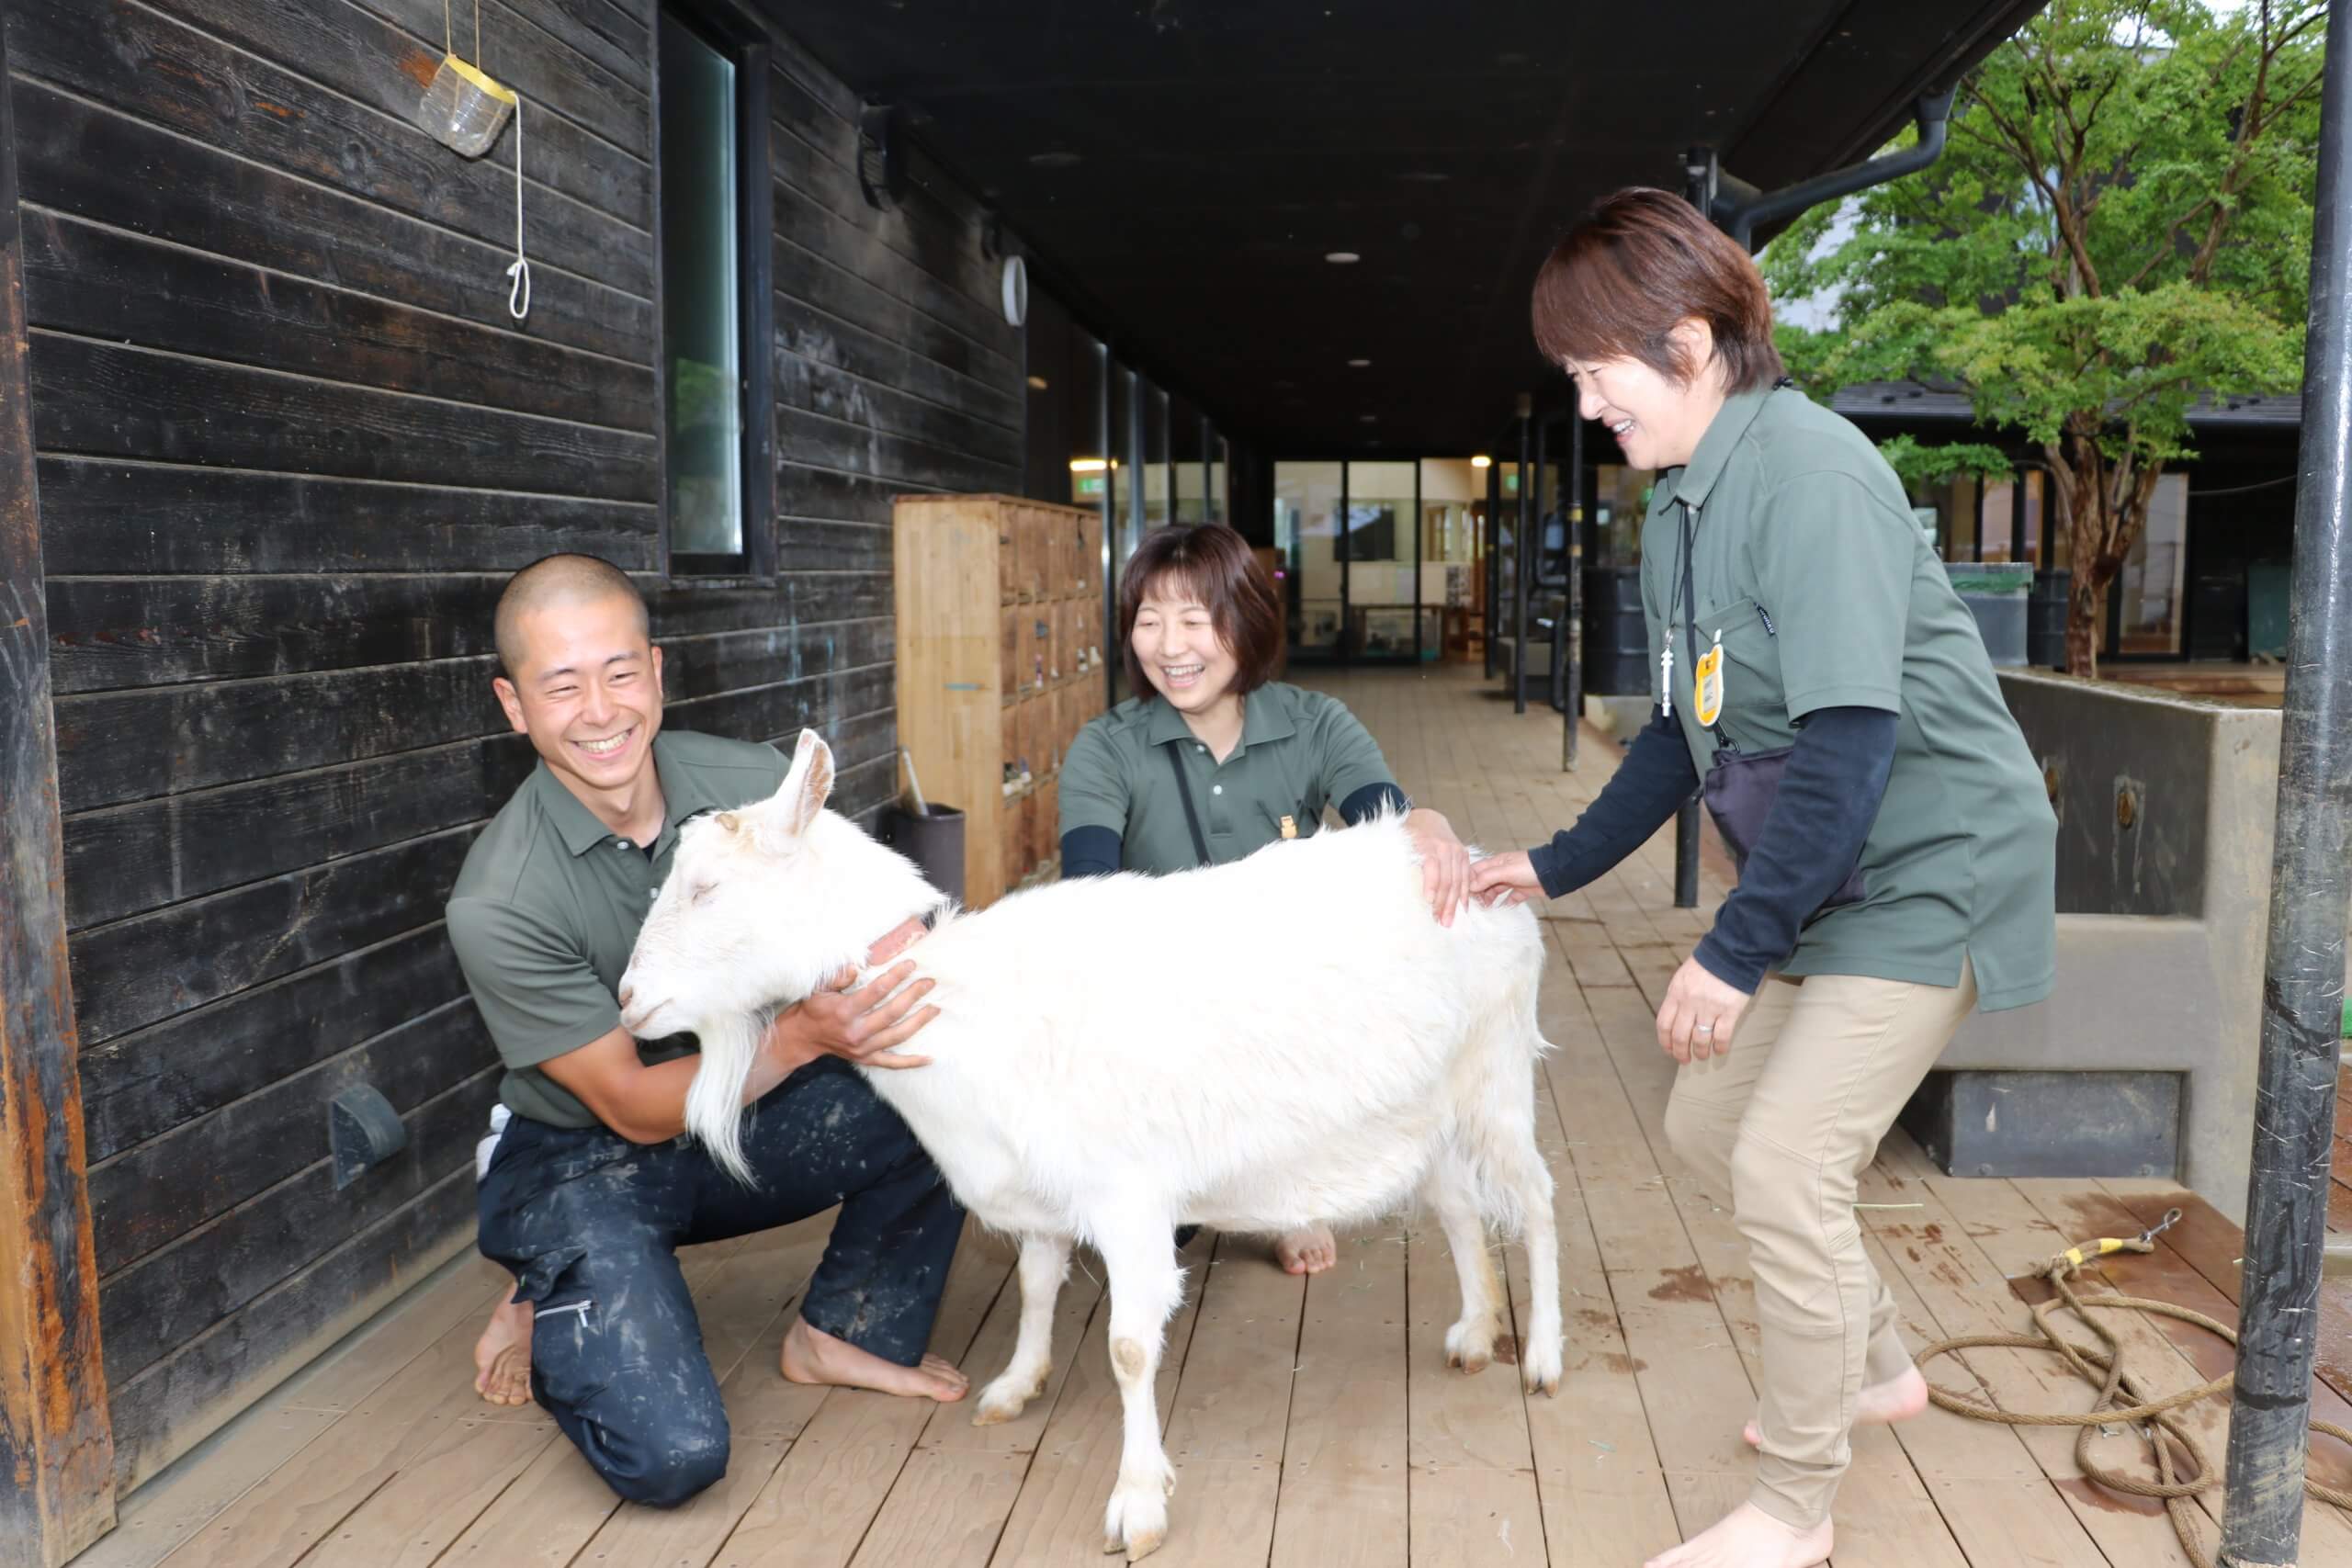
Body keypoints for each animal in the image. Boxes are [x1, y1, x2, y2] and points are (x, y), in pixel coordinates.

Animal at [620, 733, 1561, 1561]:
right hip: (1431, 1110)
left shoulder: (1130, 1198)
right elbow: (1037, 1285)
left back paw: (1542, 1356)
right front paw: (1015, 1383)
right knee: (1459, 1208)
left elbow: (1129, 1347)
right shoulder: (1043, 1195)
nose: (629, 1000)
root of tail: (1484, 874)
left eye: (706, 888)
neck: (968, 1007)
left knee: (1536, 1201)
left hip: (1498, 1076)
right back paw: (1475, 1332)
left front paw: (1137, 1504)